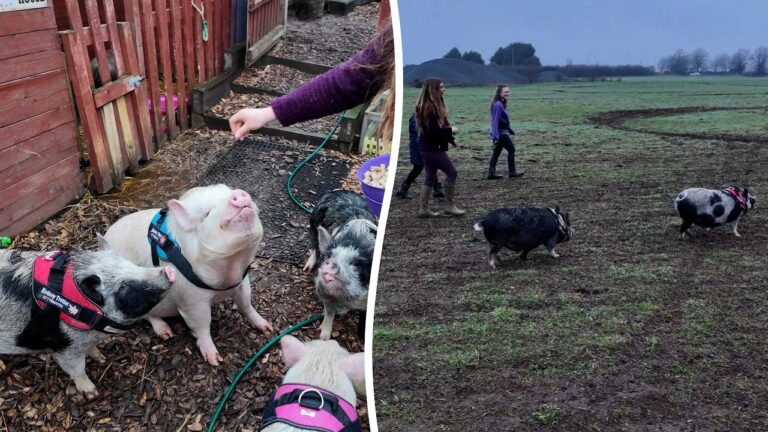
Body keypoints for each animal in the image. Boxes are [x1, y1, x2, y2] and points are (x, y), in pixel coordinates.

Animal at [0, 243, 175, 394]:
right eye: (123, 286)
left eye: (132, 265)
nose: (169, 270)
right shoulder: (66, 347)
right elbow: (77, 369)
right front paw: (92, 392)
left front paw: (102, 358)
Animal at [102, 184, 273, 366]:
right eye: (207, 213)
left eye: (228, 192)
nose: (238, 194)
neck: (230, 269)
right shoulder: (190, 299)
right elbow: (203, 325)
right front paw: (215, 360)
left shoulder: (242, 282)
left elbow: (246, 303)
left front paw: (268, 328)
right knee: (147, 315)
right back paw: (166, 333)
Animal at [303, 191, 376, 341]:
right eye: (330, 256)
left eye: (357, 263)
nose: (332, 262)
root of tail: (338, 191)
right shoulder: (321, 288)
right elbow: (329, 313)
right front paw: (323, 337)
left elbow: (364, 318)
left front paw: (363, 338)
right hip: (313, 226)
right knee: (314, 245)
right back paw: (307, 267)